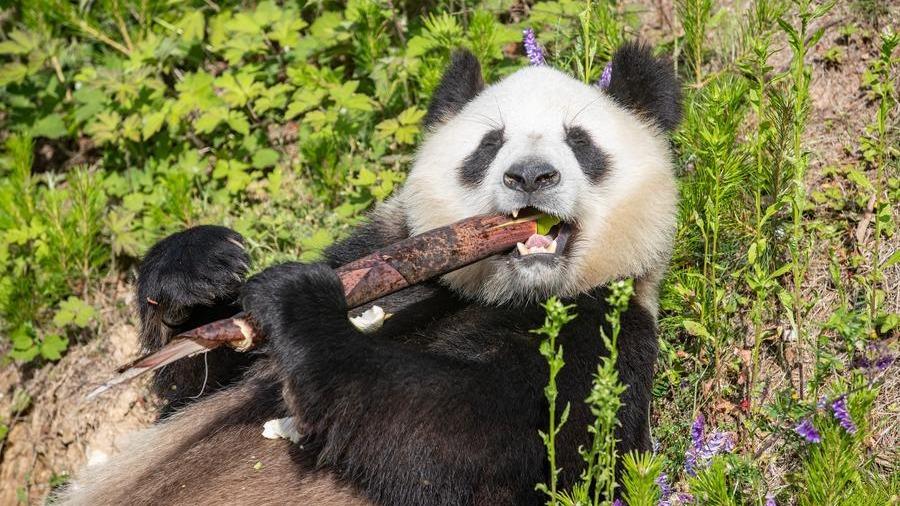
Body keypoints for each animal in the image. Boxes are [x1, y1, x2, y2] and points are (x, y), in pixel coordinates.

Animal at [60, 42, 680, 506]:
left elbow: (458, 436)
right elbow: (193, 389)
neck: (505, 295)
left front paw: (297, 302)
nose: (530, 176)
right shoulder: (382, 247)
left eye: (580, 142)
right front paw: (200, 270)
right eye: (488, 145)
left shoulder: (602, 335)